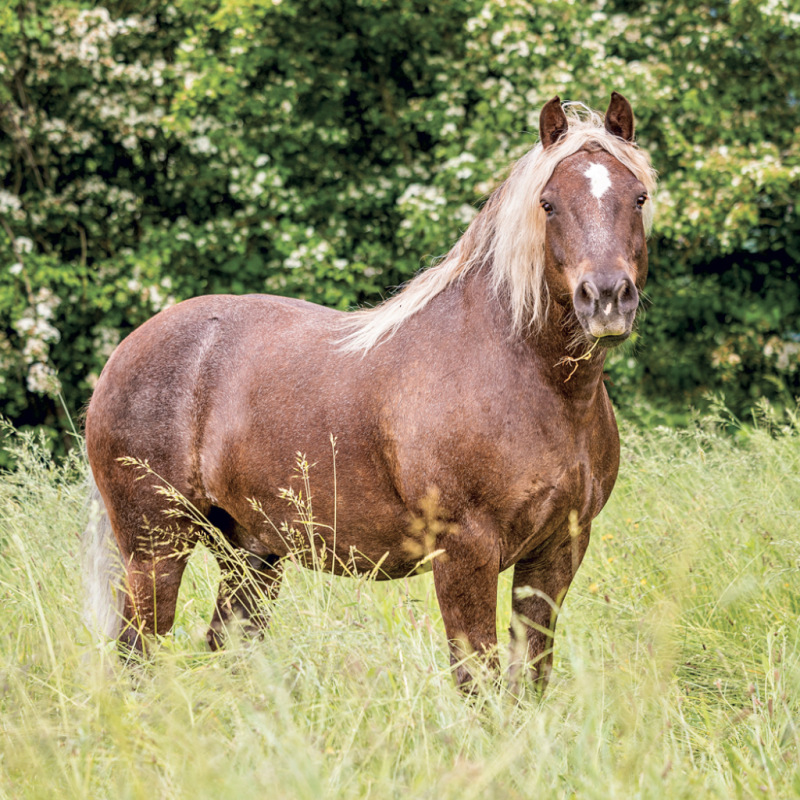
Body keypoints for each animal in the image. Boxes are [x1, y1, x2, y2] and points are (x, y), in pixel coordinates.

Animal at [83, 92, 656, 692]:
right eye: (548, 204)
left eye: (637, 197)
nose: (607, 298)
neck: (532, 381)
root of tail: (124, 354)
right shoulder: (465, 554)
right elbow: (478, 680)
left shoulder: (557, 551)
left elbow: (530, 678)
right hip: (155, 551)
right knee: (137, 652)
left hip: (252, 555)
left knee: (226, 646)